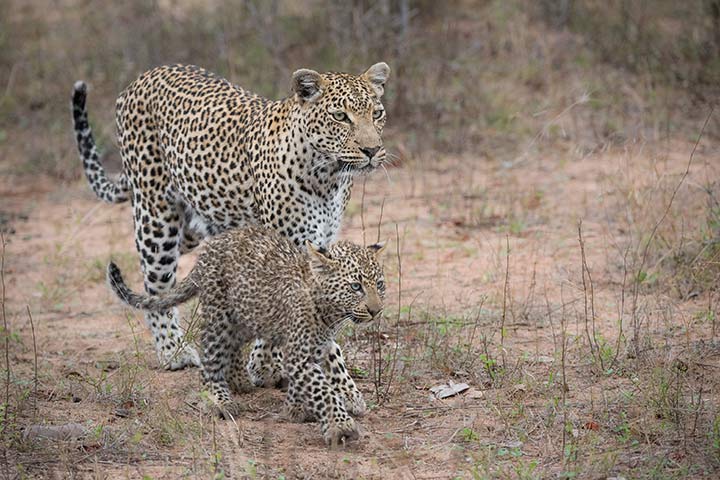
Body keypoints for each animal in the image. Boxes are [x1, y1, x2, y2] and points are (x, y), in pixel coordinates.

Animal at [71, 63, 388, 370]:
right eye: (340, 116)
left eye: (377, 113)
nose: (372, 150)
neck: (328, 177)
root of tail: (142, 77)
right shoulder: (289, 244)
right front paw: (265, 366)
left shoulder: (320, 245)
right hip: (157, 217)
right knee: (155, 280)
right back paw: (173, 351)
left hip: (195, 225)